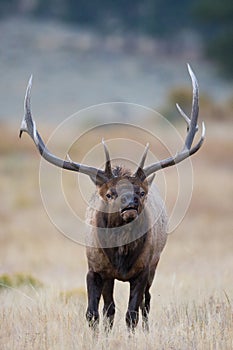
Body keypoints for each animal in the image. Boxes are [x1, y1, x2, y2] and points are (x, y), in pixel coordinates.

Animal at [19, 65, 205, 330]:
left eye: (141, 192)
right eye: (110, 193)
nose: (131, 204)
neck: (120, 256)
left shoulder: (143, 270)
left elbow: (132, 313)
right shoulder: (94, 269)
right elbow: (93, 313)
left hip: (155, 264)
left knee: (146, 304)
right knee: (110, 308)